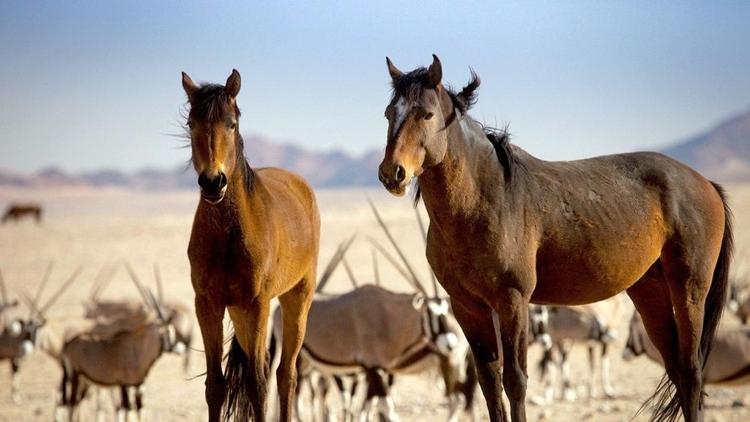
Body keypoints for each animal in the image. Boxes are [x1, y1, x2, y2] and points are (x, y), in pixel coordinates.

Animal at [184, 70, 322, 422]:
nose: (213, 181)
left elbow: (258, 383)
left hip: (296, 298)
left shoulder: (257, 304)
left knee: (286, 375)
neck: (229, 234)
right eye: (191, 123)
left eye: (231, 123)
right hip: (238, 311)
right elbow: (215, 385)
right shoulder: (208, 304)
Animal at [378, 56, 732, 422]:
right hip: (650, 291)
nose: (393, 173)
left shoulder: (513, 301)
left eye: (426, 114)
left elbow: (515, 381)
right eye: (390, 113)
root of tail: (706, 184)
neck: (484, 200)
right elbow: (489, 383)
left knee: (691, 371)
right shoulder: (467, 307)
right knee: (677, 369)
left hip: (689, 289)